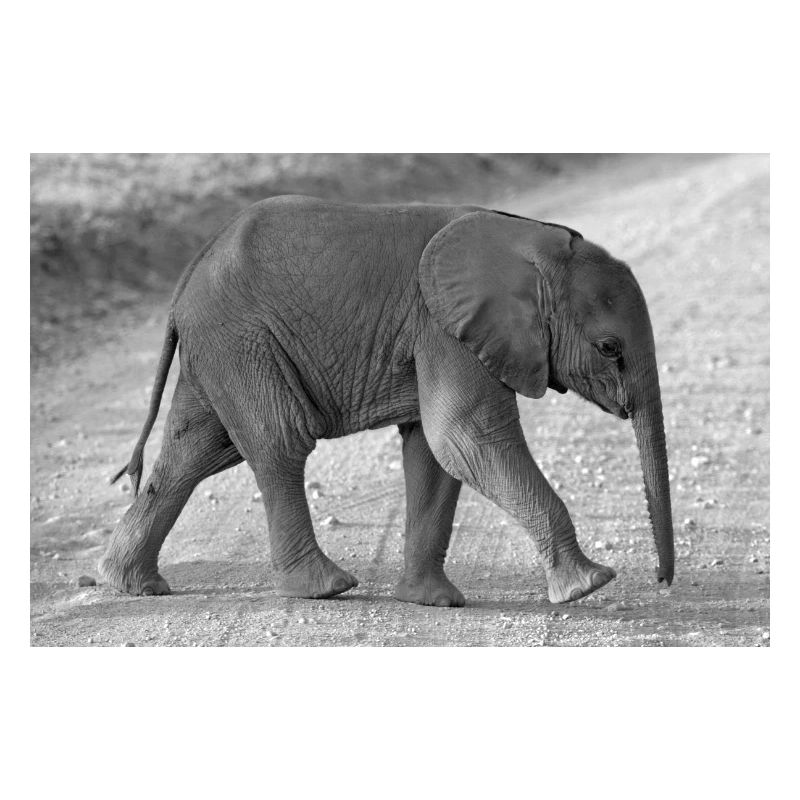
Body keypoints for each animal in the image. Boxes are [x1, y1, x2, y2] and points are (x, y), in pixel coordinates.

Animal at [99, 195, 674, 607]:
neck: (531, 239)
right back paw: (326, 588)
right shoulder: (442, 327)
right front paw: (589, 585)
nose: (663, 581)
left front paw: (433, 602)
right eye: (609, 348)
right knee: (278, 443)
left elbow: (434, 453)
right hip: (242, 340)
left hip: (220, 347)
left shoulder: (442, 333)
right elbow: (465, 437)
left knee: (194, 452)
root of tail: (188, 277)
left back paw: (132, 585)